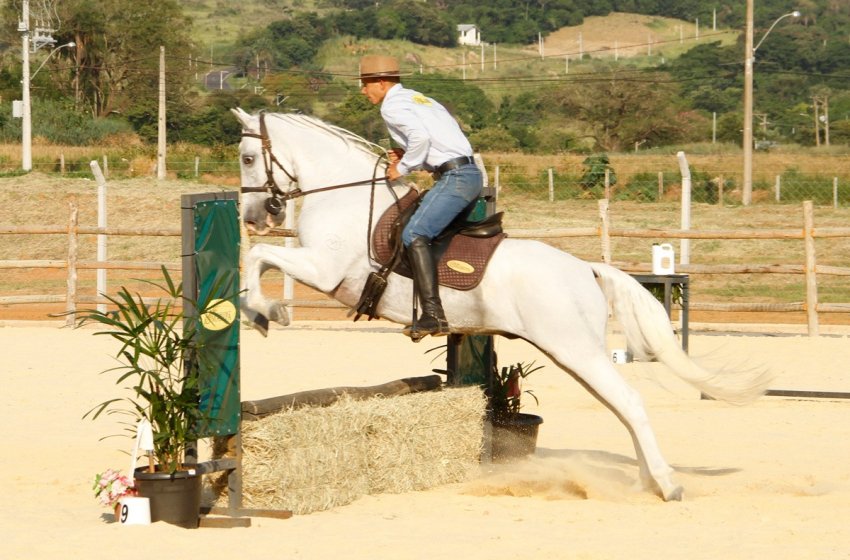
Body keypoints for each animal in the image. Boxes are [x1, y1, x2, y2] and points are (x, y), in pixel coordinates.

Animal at [231, 108, 771, 502]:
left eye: (247, 157)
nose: (254, 215)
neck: (343, 197)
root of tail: (586, 270)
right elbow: (259, 258)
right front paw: (261, 311)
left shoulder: (325, 271)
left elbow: (259, 258)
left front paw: (265, 313)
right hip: (572, 354)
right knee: (620, 406)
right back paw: (646, 481)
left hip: (576, 350)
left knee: (631, 403)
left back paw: (667, 483)